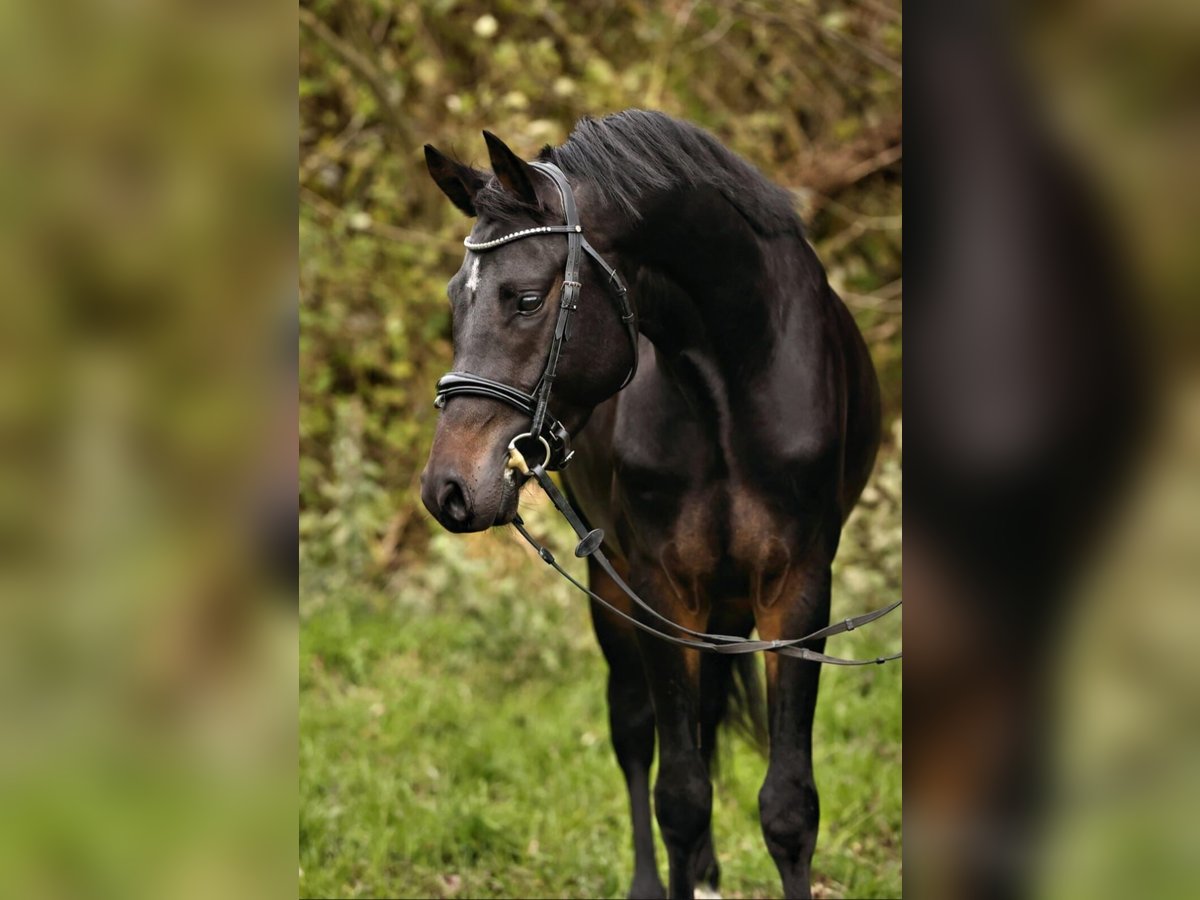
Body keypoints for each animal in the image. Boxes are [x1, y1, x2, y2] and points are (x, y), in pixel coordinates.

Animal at [420, 111, 883, 900]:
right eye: (457, 298)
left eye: (525, 298)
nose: (447, 489)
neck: (733, 382)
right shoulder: (660, 590)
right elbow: (680, 796)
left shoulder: (798, 590)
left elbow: (789, 807)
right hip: (615, 591)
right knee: (637, 733)